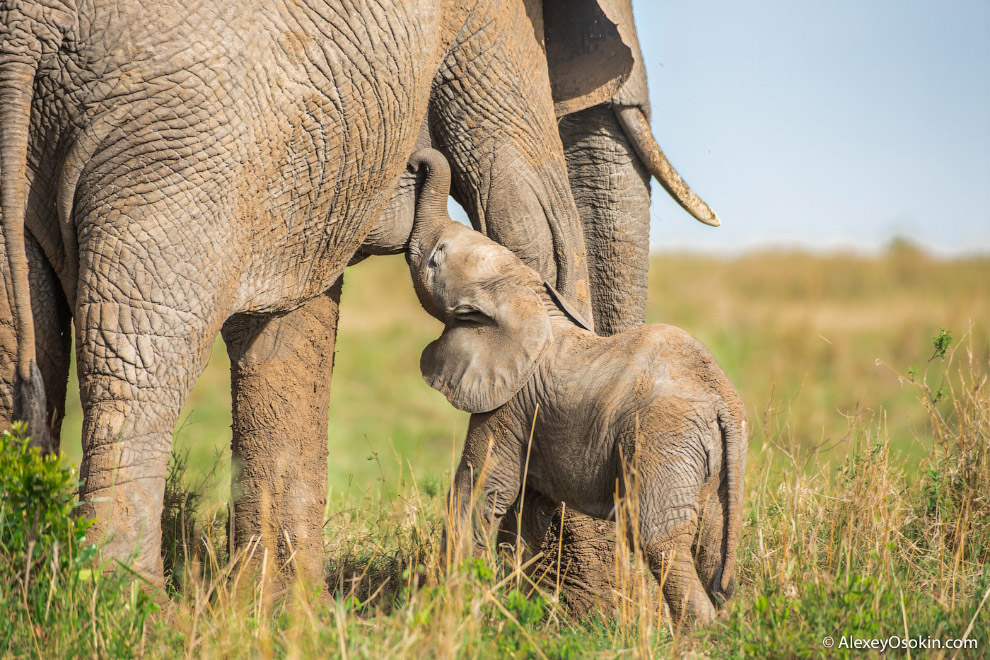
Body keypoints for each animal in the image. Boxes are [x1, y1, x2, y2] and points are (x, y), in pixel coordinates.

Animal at [400, 150, 748, 624]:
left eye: (435, 260)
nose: (415, 162)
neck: (523, 295)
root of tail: (721, 402)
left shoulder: (510, 403)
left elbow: (482, 490)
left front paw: (444, 608)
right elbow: (528, 509)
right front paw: (510, 604)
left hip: (663, 438)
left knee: (659, 539)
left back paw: (697, 632)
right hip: (717, 460)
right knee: (711, 542)